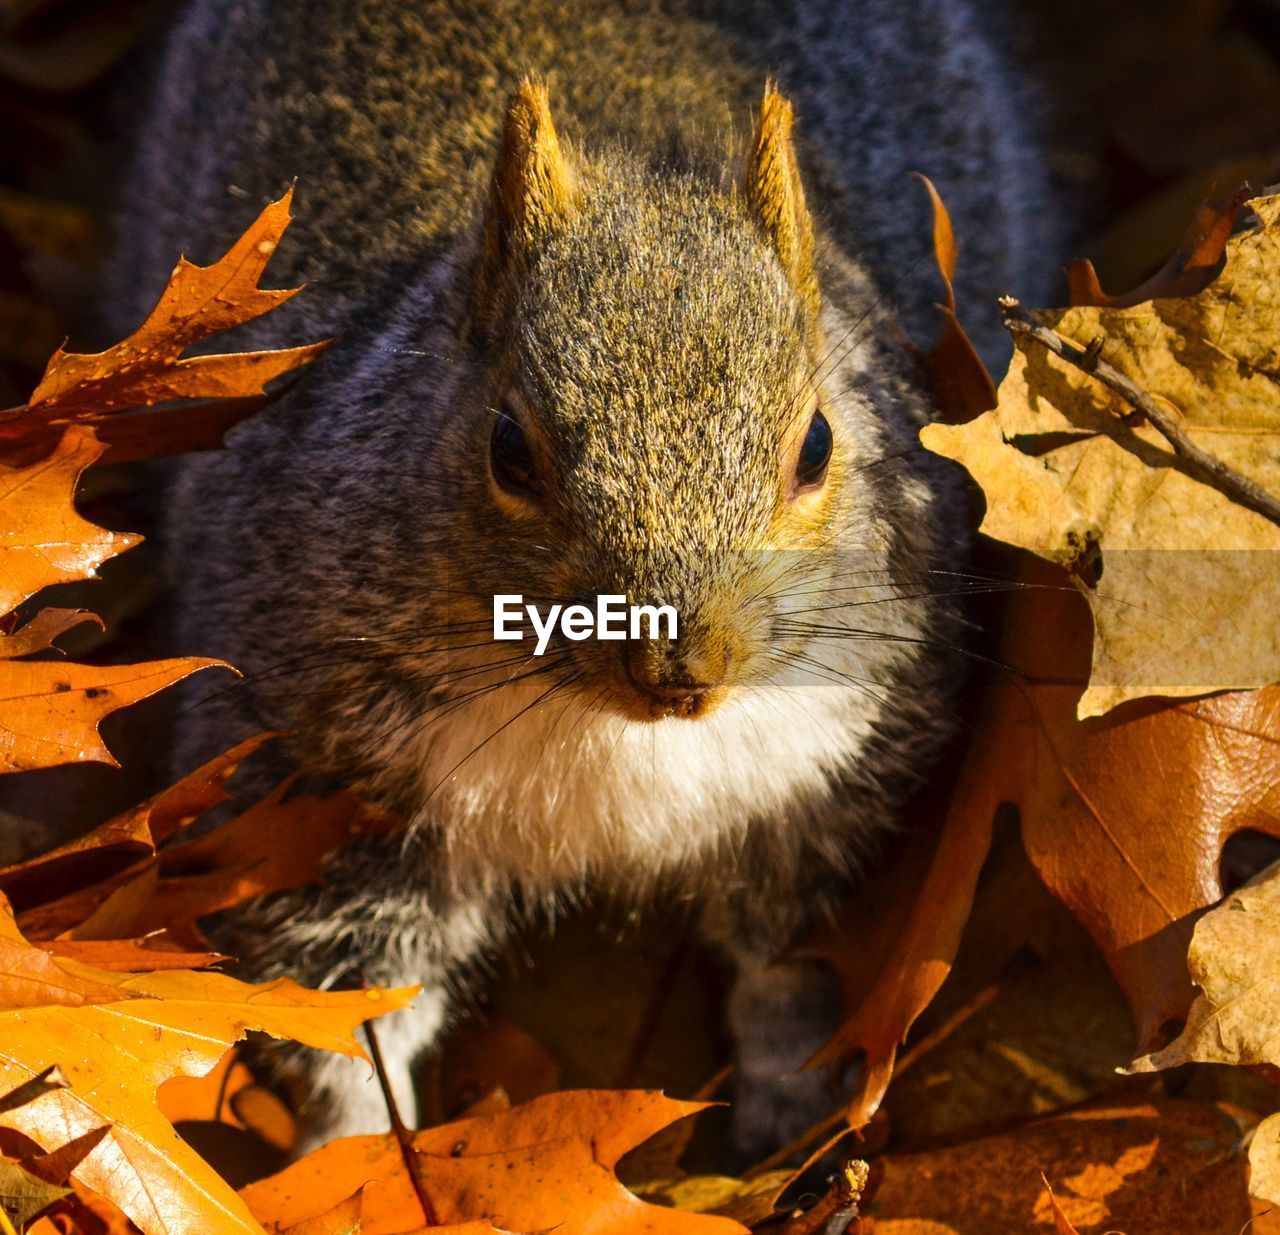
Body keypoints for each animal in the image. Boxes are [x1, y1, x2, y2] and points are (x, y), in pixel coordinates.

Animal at [110, 0, 1054, 1156]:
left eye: (819, 444)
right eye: (508, 450)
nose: (679, 665)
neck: (624, 741)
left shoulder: (834, 777)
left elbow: (786, 948)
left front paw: (789, 1085)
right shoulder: (313, 779)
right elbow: (348, 997)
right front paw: (362, 1153)